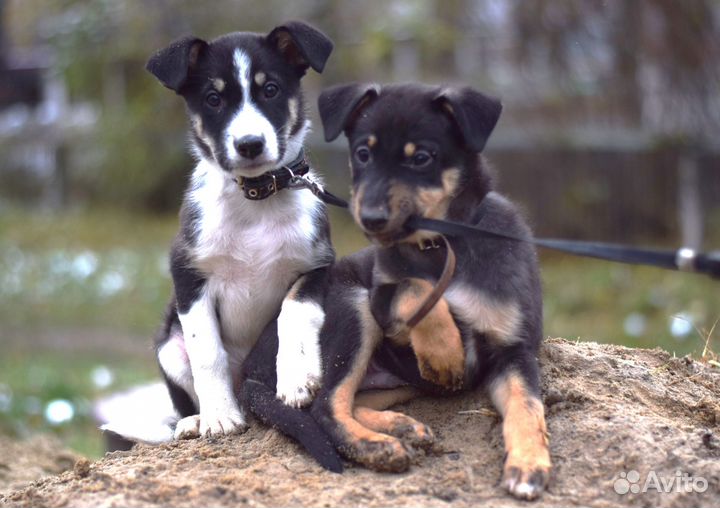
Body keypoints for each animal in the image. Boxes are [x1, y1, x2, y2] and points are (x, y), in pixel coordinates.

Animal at [135, 20, 334, 440]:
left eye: (270, 89)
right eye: (213, 99)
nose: (250, 144)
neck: (255, 200)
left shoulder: (316, 265)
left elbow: (294, 313)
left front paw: (296, 380)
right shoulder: (188, 275)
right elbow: (207, 351)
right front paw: (220, 416)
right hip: (168, 345)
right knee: (184, 393)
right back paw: (195, 420)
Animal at [242, 83, 552, 500]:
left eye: (421, 158)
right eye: (362, 154)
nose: (370, 219)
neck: (441, 245)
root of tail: (248, 369)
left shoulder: (514, 349)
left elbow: (527, 406)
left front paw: (529, 466)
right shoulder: (381, 299)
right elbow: (413, 289)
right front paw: (444, 353)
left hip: (394, 379)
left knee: (343, 401)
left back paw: (403, 427)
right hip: (353, 305)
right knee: (325, 406)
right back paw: (377, 447)